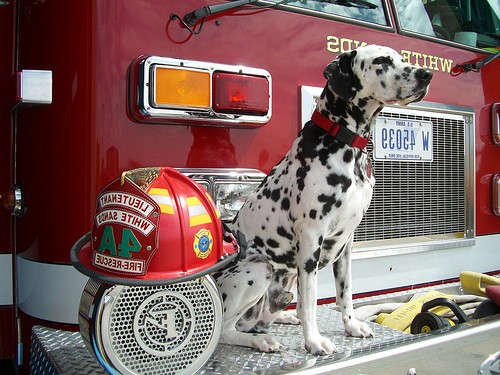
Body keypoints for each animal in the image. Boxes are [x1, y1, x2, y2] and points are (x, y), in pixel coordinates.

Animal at [213, 44, 432, 356]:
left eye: (403, 58)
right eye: (381, 60)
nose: (427, 75)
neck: (345, 143)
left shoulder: (347, 243)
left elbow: (345, 293)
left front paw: (351, 326)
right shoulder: (311, 239)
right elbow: (311, 302)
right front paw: (314, 342)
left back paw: (281, 318)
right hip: (258, 268)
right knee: (226, 330)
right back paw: (261, 340)